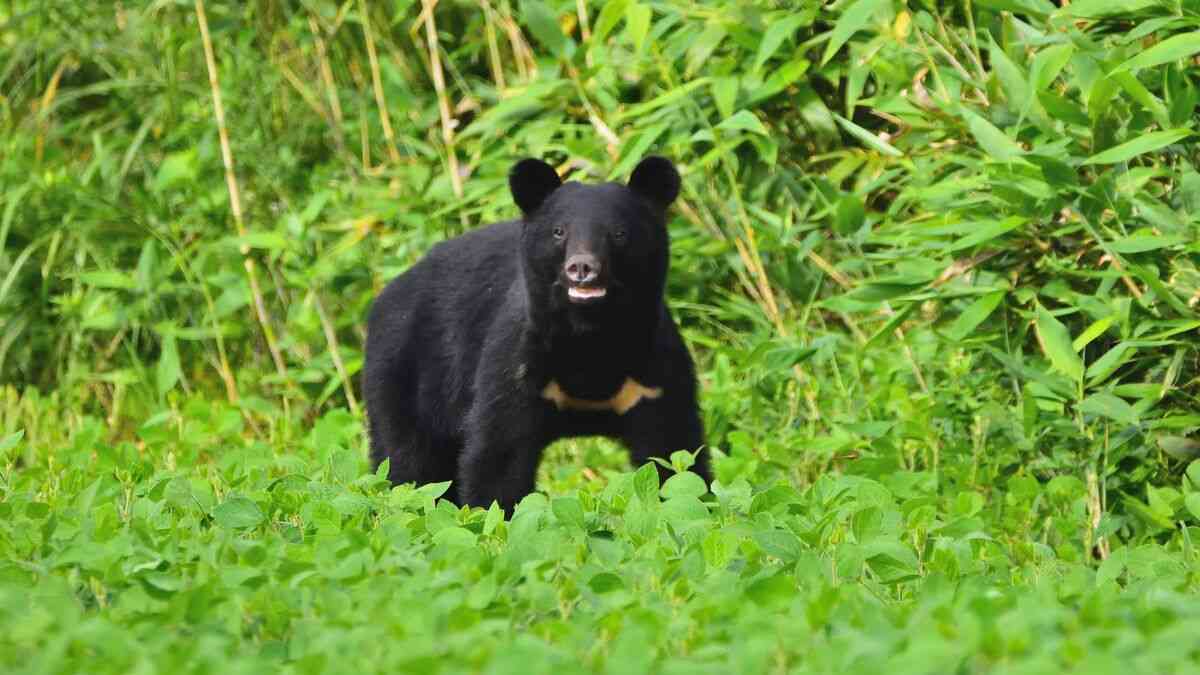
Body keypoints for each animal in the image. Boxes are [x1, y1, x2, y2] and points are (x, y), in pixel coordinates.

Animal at [363, 156, 709, 513]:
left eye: (619, 233)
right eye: (559, 232)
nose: (582, 268)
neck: (590, 336)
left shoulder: (653, 374)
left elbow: (673, 452)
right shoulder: (518, 365)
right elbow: (499, 456)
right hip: (403, 374)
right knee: (407, 462)